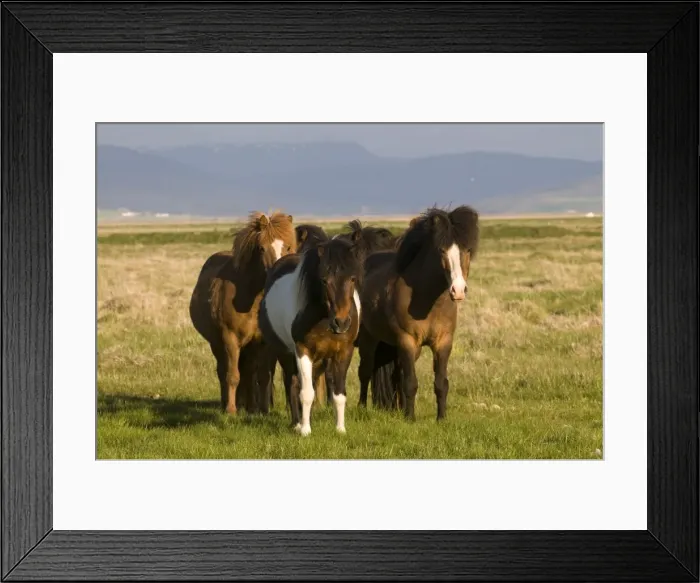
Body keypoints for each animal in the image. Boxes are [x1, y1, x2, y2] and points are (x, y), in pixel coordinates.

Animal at [189, 211, 296, 415]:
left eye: (287, 246)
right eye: (262, 248)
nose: (277, 273)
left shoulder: (260, 342)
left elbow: (259, 376)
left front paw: (259, 410)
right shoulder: (229, 339)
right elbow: (232, 375)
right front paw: (231, 411)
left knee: (247, 372)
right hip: (216, 343)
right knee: (222, 370)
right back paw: (228, 403)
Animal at [259, 237, 363, 435]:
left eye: (353, 278)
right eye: (324, 280)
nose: (341, 323)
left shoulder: (344, 352)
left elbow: (339, 393)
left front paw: (340, 429)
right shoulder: (303, 350)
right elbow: (306, 393)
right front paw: (306, 430)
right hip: (285, 353)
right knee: (292, 383)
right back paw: (297, 423)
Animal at [356, 205, 480, 421]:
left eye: (467, 250)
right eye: (441, 250)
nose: (458, 290)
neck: (429, 302)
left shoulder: (443, 342)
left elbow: (441, 383)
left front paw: (441, 418)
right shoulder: (407, 341)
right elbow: (411, 382)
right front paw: (410, 419)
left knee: (396, 375)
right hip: (368, 338)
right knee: (365, 371)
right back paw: (362, 407)